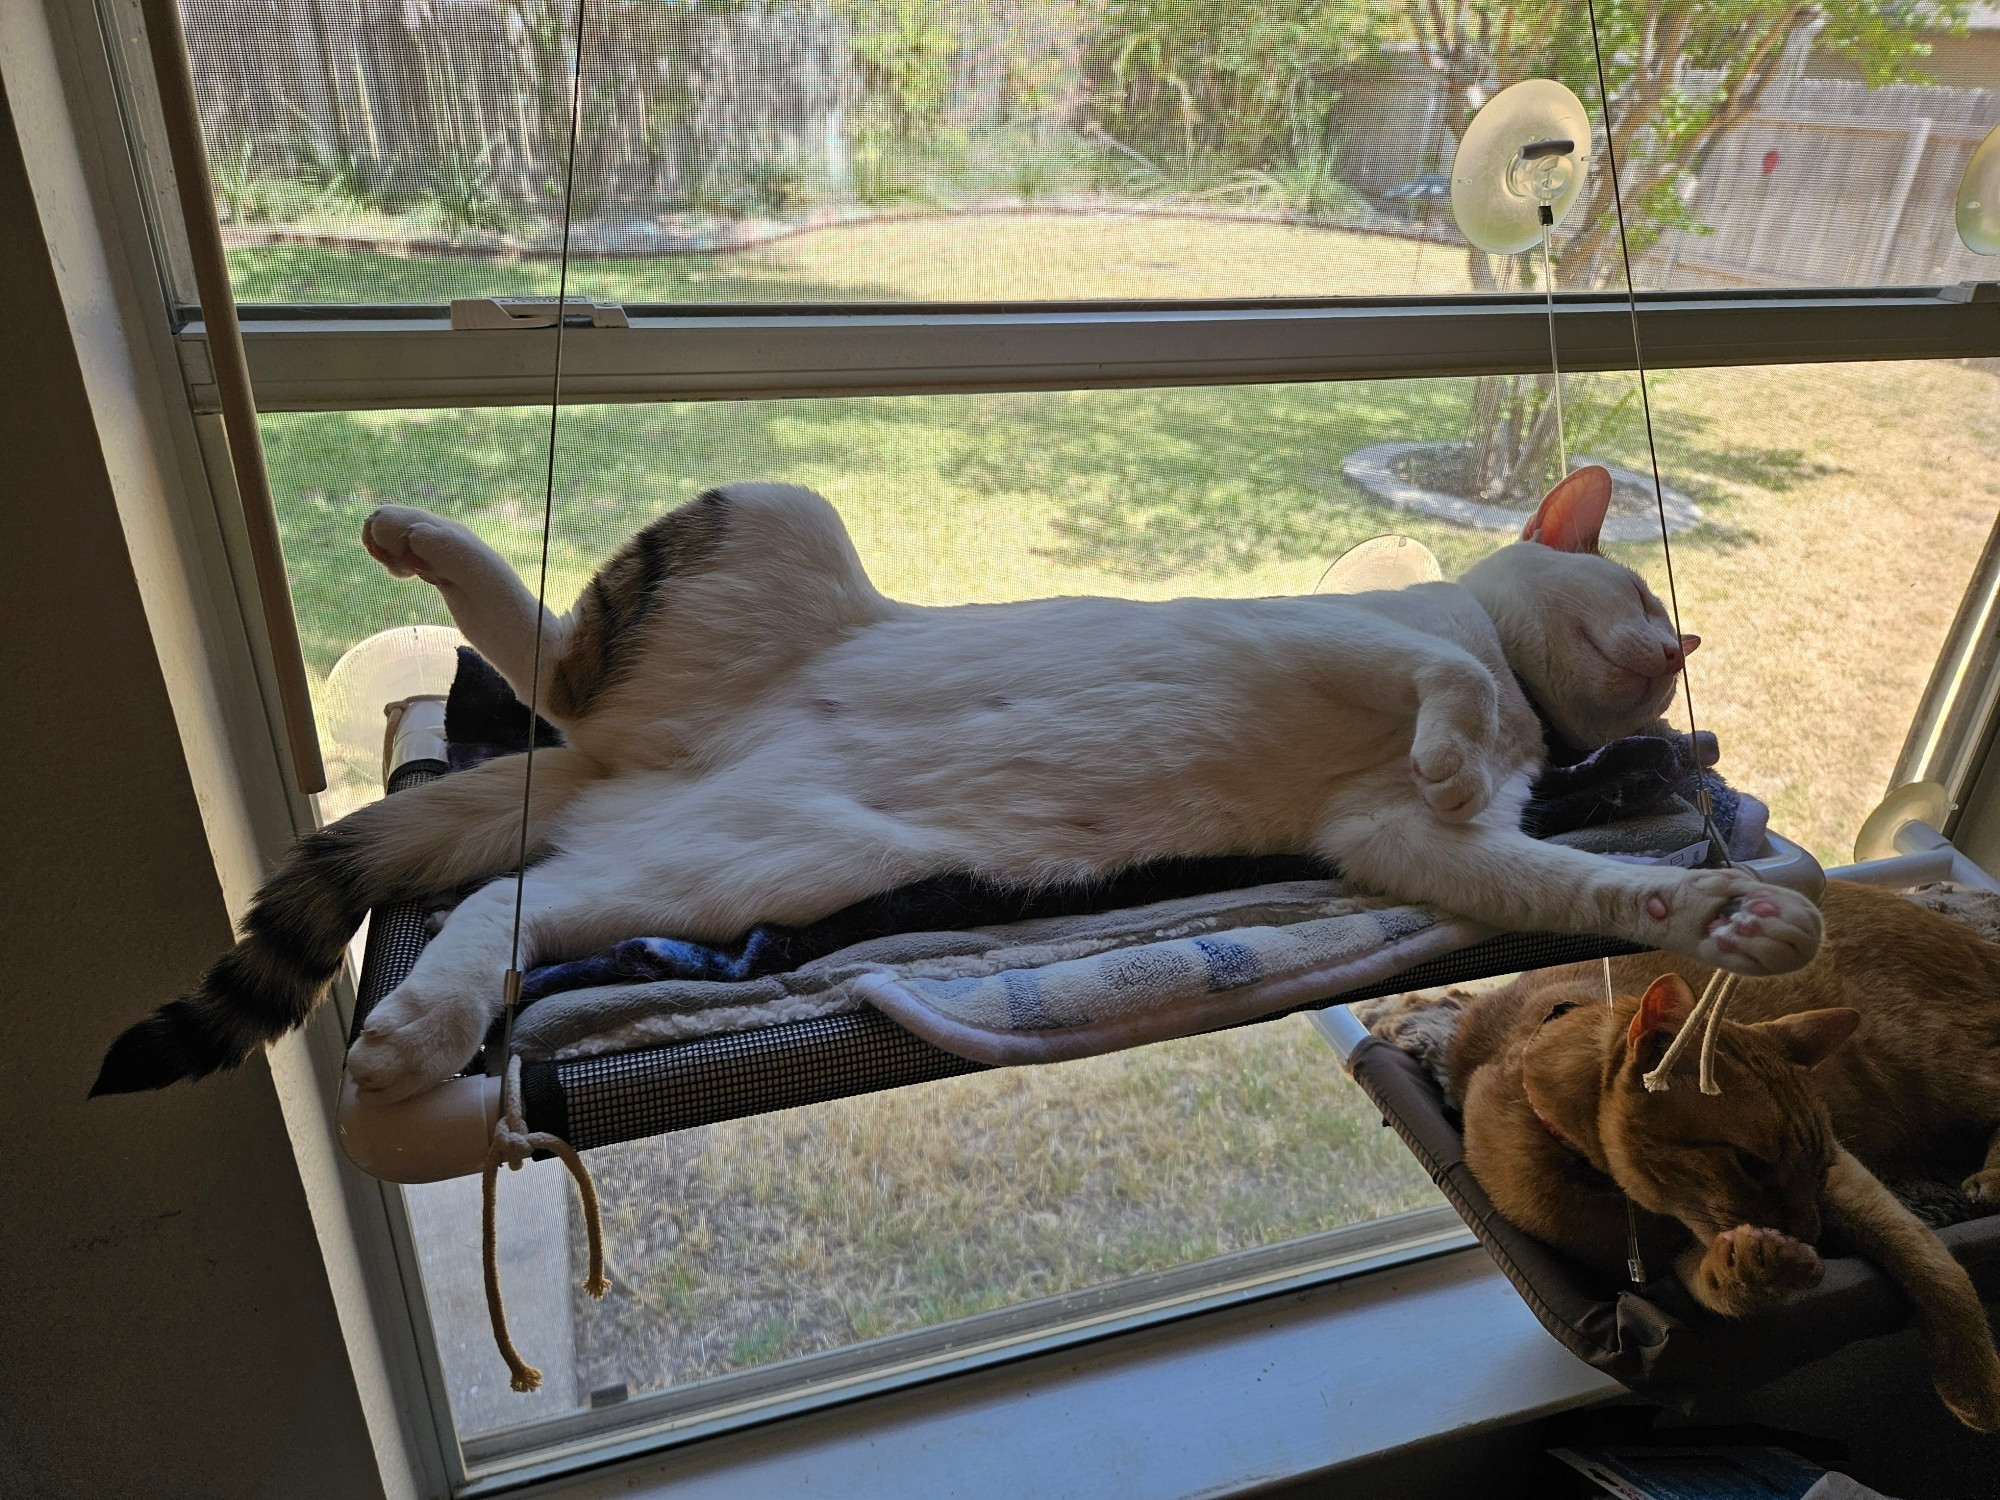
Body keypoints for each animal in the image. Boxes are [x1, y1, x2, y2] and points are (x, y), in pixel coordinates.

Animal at [90, 470, 1816, 1104]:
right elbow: (1443, 689)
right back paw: (414, 536)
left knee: (516, 897)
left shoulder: (1407, 846)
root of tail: (629, 762)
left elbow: (1579, 882)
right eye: (1636, 596)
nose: (1684, 647)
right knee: (549, 656)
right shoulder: (1361, 637)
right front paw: (1465, 734)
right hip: (776, 526)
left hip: (729, 868)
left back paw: (420, 1028)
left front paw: (1733, 919)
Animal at [1448, 880, 2000, 1432]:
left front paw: (1971, 1381)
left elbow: (1928, 1257)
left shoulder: (1849, 1179)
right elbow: (1711, 1289)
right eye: (1751, 1165)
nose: (1814, 1236)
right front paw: (1755, 1268)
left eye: (1818, 1171)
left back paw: (1989, 1180)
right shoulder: (1670, 1264)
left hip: (1931, 1064)